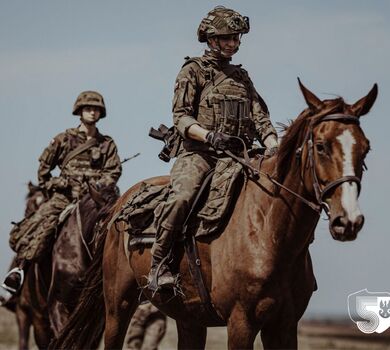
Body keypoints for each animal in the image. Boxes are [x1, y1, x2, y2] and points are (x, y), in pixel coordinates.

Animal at [54, 80, 378, 348]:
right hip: (118, 306)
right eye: (321, 146)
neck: (269, 232)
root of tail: (118, 208)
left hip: (189, 319)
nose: (349, 221)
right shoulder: (241, 323)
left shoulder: (284, 326)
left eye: (365, 149)